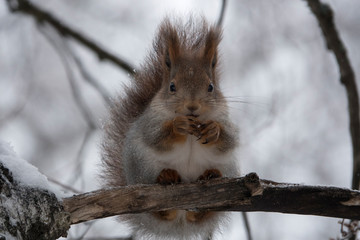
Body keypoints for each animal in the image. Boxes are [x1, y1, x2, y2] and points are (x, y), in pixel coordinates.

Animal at [102, 16, 239, 240]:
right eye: (172, 87)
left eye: (210, 87)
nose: (192, 106)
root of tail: (180, 222)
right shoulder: (149, 121)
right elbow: (155, 136)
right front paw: (178, 125)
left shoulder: (226, 118)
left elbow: (231, 139)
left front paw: (213, 130)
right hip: (142, 168)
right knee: (161, 210)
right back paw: (166, 178)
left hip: (229, 167)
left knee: (200, 213)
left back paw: (209, 178)